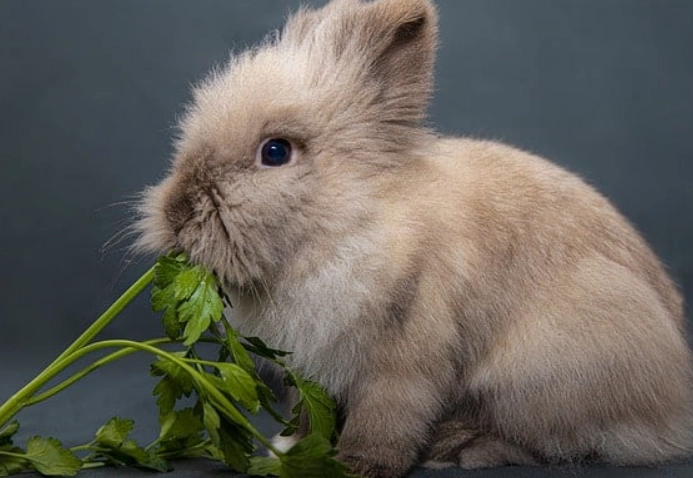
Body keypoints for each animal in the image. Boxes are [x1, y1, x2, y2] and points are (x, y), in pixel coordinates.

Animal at [134, 0, 693, 477]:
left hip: (540, 374)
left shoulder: (404, 354)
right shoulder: (312, 370)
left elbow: (386, 416)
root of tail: (677, 402)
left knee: (557, 441)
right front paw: (290, 448)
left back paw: (460, 448)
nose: (177, 212)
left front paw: (357, 466)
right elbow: (311, 415)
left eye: (275, 152)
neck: (348, 222)